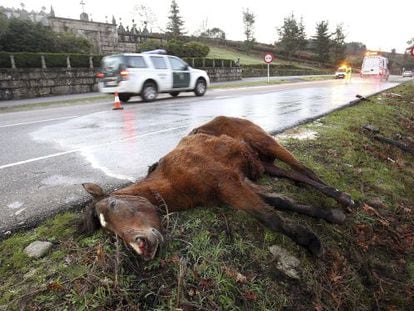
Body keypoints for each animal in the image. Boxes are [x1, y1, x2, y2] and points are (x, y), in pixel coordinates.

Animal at [81, 116, 352, 260]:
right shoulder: (239, 182)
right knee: (295, 174)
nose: (142, 247)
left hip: (267, 143)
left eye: (114, 204)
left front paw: (310, 241)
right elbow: (282, 201)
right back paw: (339, 204)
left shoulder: (227, 184)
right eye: (109, 231)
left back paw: (344, 198)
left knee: (305, 170)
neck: (174, 179)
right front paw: (328, 215)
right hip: (264, 165)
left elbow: (270, 218)